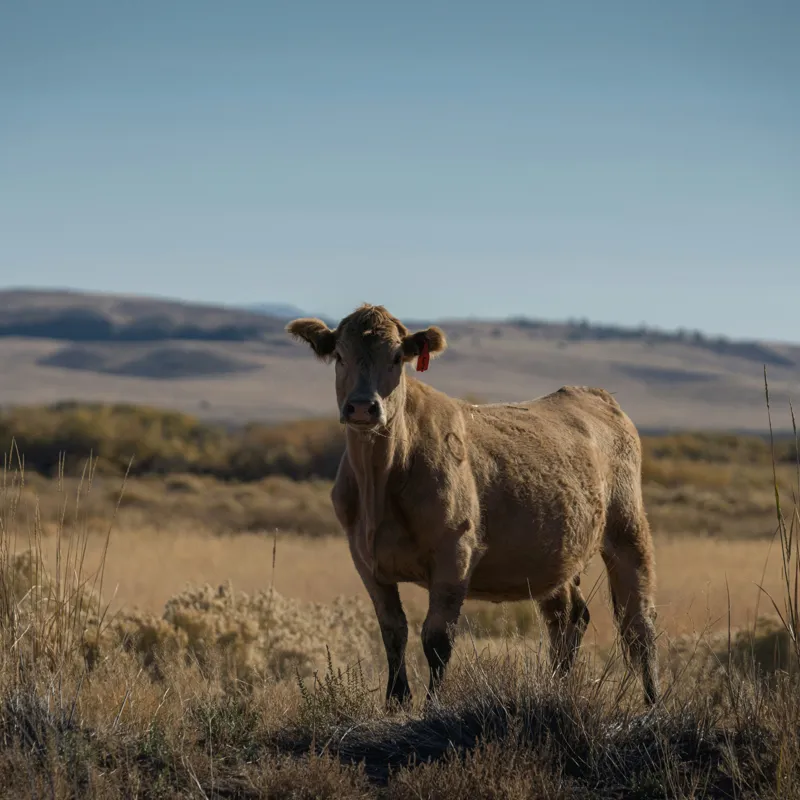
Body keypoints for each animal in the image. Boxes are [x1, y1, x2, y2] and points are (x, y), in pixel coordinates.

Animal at [286, 304, 659, 709]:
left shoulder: (455, 552)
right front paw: (396, 701)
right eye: (340, 355)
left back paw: (652, 702)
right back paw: (556, 688)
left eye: (397, 357)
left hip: (628, 530)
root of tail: (594, 395)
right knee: (567, 617)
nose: (362, 407)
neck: (379, 483)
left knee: (639, 624)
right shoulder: (365, 559)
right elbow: (393, 630)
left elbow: (436, 638)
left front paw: (432, 704)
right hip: (555, 554)